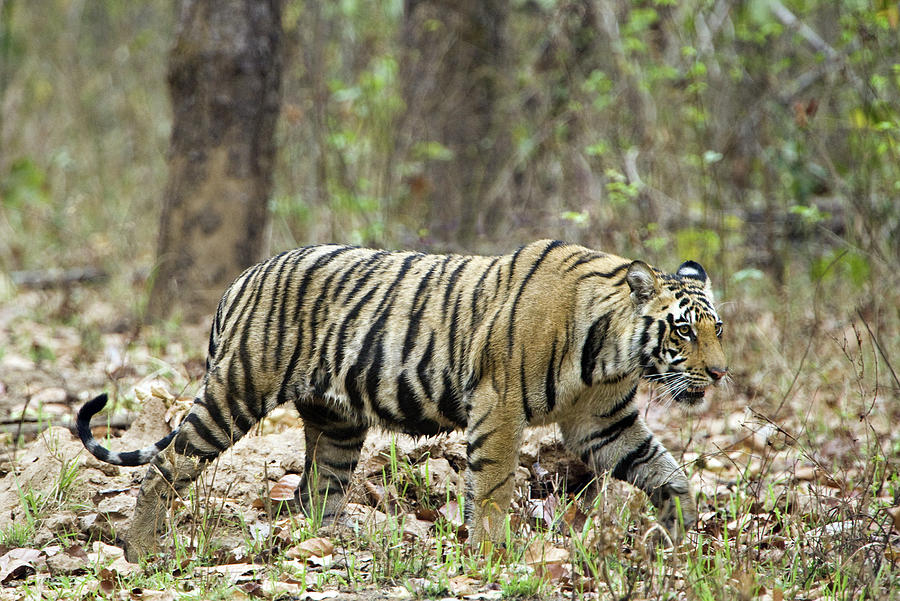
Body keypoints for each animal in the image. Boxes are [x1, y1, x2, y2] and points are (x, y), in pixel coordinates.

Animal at [75, 238, 724, 556]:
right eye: (685, 331)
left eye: (719, 328)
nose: (719, 374)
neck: (613, 353)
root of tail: (243, 277)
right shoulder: (499, 405)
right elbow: (493, 485)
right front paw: (492, 552)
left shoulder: (601, 422)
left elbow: (668, 474)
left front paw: (679, 541)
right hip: (237, 391)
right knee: (165, 464)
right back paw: (139, 549)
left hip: (337, 424)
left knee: (316, 493)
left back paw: (326, 549)